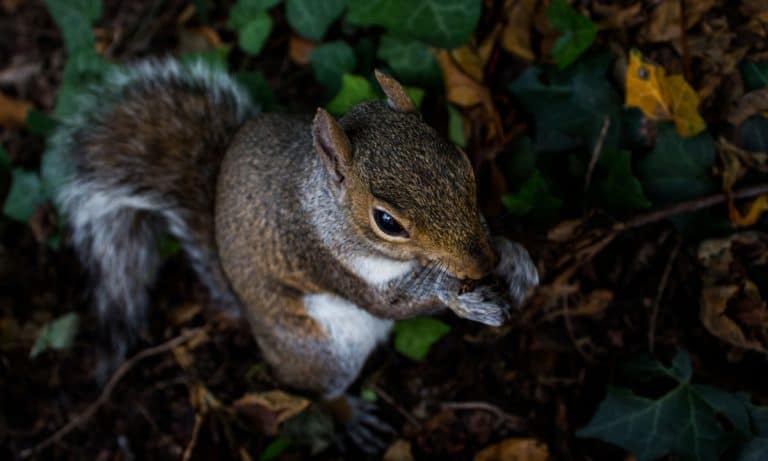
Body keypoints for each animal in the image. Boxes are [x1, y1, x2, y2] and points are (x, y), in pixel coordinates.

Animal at [51, 58, 540, 442]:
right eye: (386, 222)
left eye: (463, 163)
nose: (482, 263)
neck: (327, 207)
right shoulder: (321, 257)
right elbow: (391, 303)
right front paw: (462, 298)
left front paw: (514, 259)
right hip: (320, 353)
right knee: (314, 393)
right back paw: (349, 416)